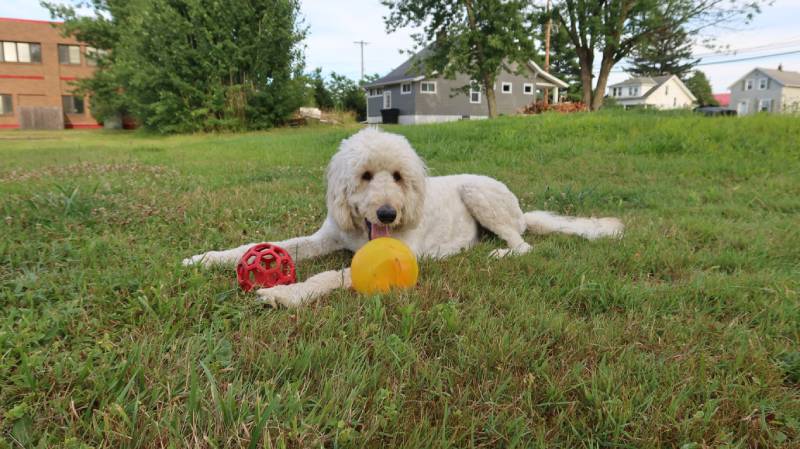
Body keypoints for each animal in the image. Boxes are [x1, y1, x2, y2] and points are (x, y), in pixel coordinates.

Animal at [186, 128, 624, 306]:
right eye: (364, 175)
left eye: (398, 176)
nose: (388, 213)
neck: (361, 232)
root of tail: (520, 210)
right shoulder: (325, 237)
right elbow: (277, 246)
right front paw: (206, 258)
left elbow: (330, 276)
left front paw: (286, 295)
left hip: (479, 194)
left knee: (523, 244)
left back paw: (499, 253)